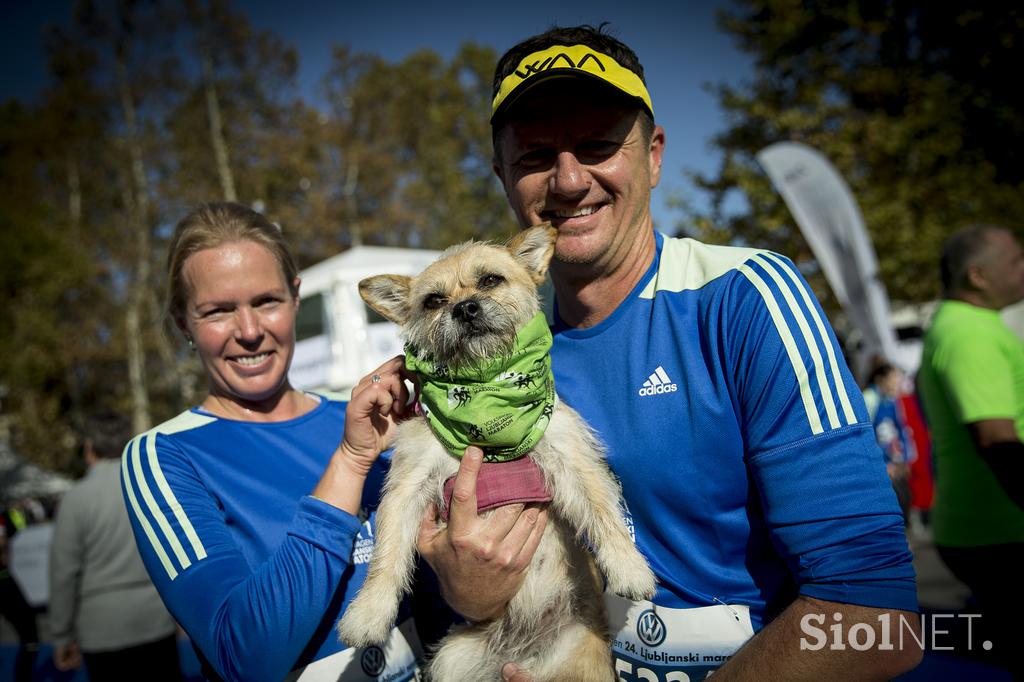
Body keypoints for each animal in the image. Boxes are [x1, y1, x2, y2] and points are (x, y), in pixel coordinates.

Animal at [337, 224, 655, 679]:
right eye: (433, 301)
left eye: (490, 280)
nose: (465, 308)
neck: (484, 402)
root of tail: (522, 653)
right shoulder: (407, 487)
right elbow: (388, 554)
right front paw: (367, 613)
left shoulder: (570, 458)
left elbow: (603, 512)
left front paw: (629, 567)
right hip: (454, 658)